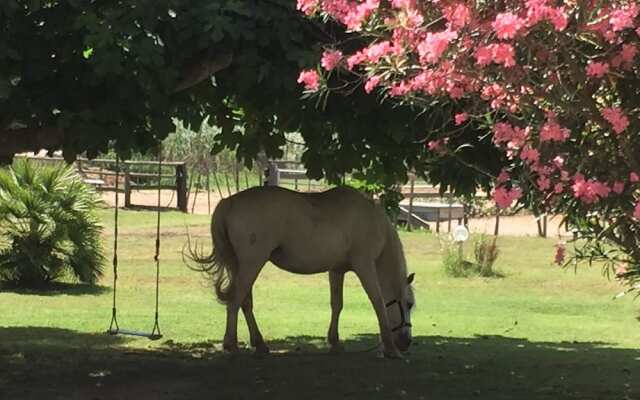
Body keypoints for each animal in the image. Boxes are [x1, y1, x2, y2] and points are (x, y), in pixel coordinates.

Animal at [188, 186, 416, 358]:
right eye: (409, 304)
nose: (406, 342)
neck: (371, 220)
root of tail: (228, 202)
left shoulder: (337, 270)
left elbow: (337, 304)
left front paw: (335, 342)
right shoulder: (365, 265)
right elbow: (378, 303)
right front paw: (390, 349)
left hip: (239, 265)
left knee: (245, 302)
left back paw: (259, 344)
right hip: (252, 263)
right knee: (235, 301)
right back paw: (231, 346)